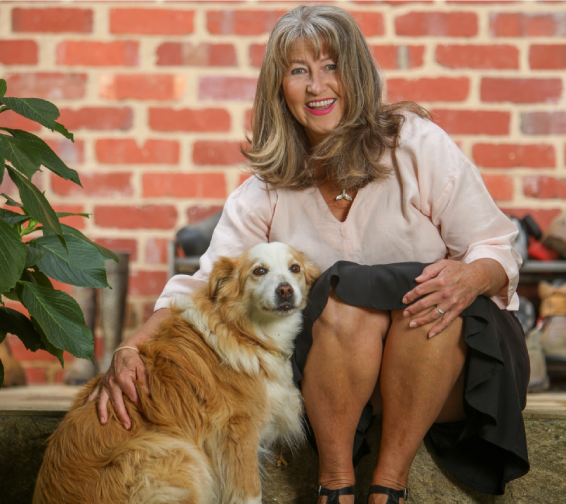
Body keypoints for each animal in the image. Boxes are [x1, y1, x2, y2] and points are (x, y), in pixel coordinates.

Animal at [33, 242, 322, 502]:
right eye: (259, 271)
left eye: (295, 268)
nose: (285, 290)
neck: (245, 333)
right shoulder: (238, 432)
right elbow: (250, 493)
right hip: (181, 456)